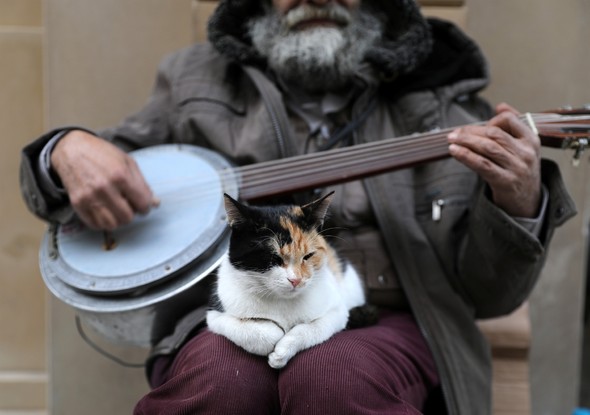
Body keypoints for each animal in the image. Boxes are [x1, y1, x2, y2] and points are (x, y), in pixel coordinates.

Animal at [208, 193, 374, 368]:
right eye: (273, 257)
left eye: (308, 256)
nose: (296, 280)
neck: (282, 302)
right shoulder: (215, 315)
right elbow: (261, 332)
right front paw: (274, 334)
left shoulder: (338, 311)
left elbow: (312, 328)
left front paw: (281, 354)